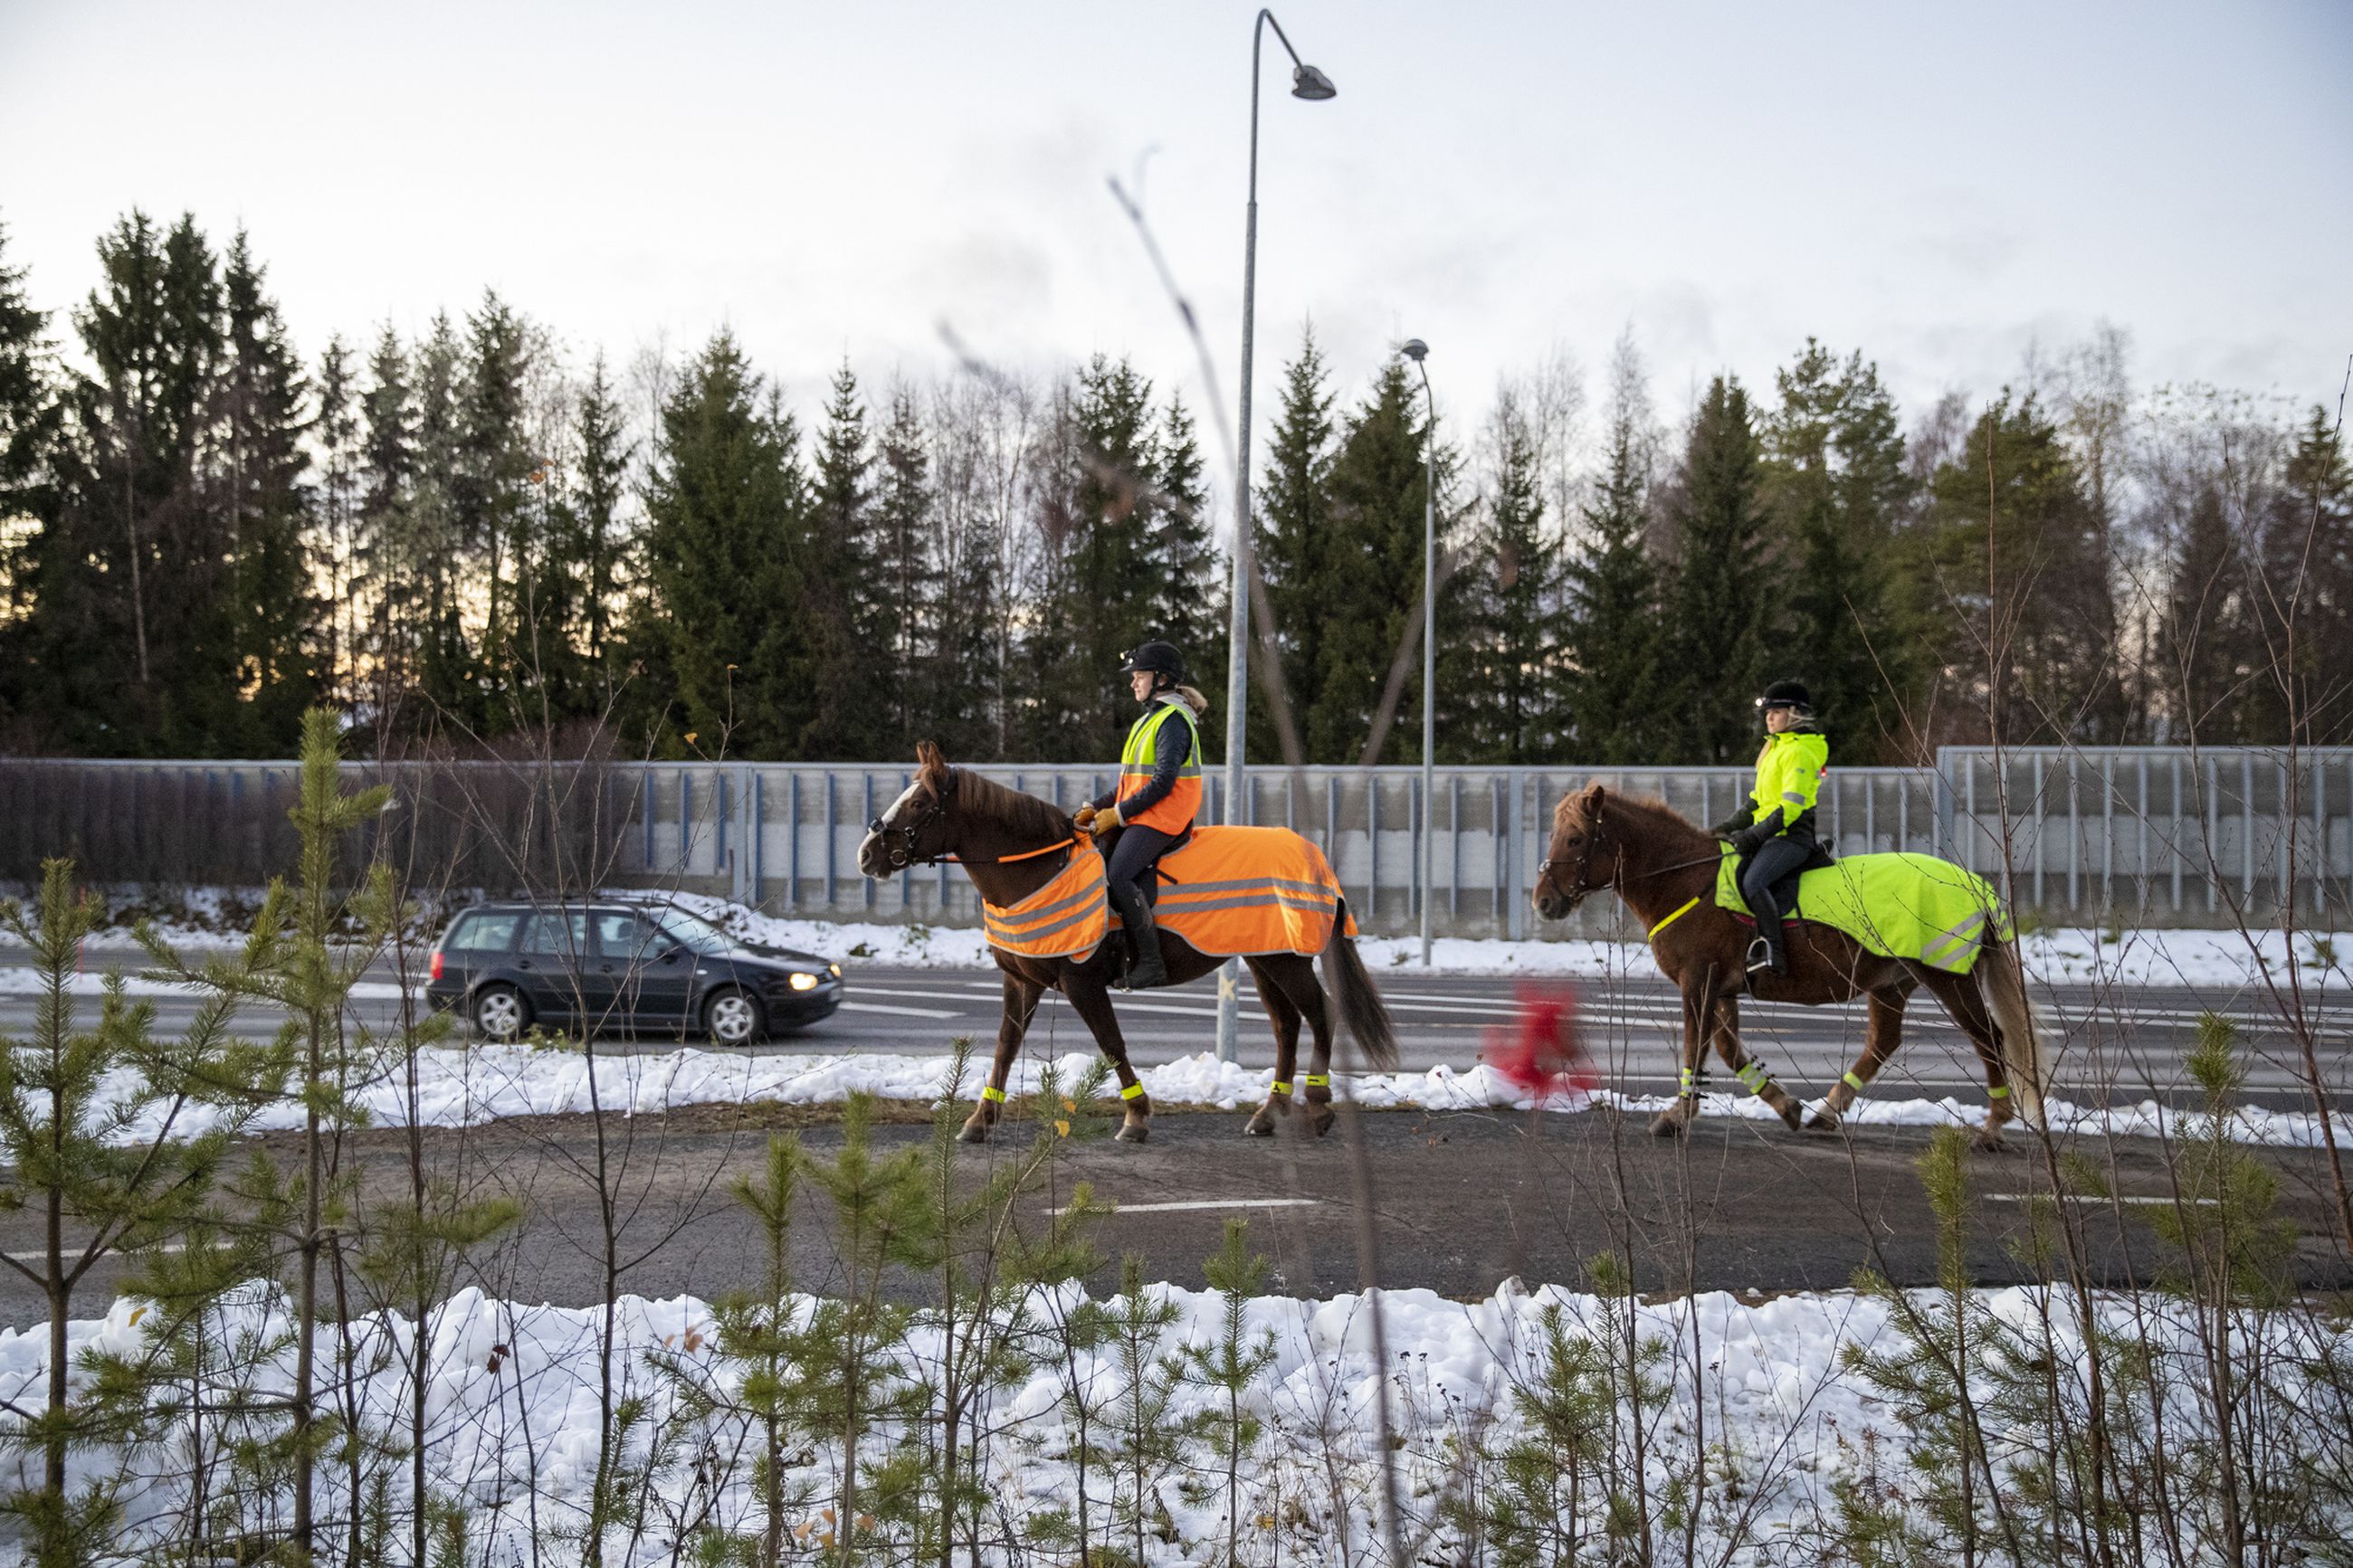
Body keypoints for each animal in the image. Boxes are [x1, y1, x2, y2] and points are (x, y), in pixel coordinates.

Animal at [861, 743, 1393, 1146]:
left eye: (919, 804)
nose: (867, 855)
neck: (1038, 869)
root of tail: (1314, 856)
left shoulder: (1081, 982)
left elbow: (1111, 1042)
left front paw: (1136, 1116)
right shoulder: (1021, 981)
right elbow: (1005, 1048)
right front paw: (979, 1120)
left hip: (1286, 961)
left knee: (1321, 1014)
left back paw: (1318, 1106)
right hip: (1263, 960)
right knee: (1287, 1026)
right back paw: (1269, 1112)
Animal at [1534, 789, 2052, 1146]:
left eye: (1575, 838)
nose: (1544, 902)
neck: (1687, 879)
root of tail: (1975, 886)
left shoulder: (1698, 982)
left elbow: (1695, 1047)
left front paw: (1676, 1118)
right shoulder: (1722, 988)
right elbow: (1729, 1051)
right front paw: (1785, 1105)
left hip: (1948, 978)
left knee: (1989, 1038)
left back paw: (1993, 1126)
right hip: (1890, 983)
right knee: (1884, 1042)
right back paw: (1827, 1112)